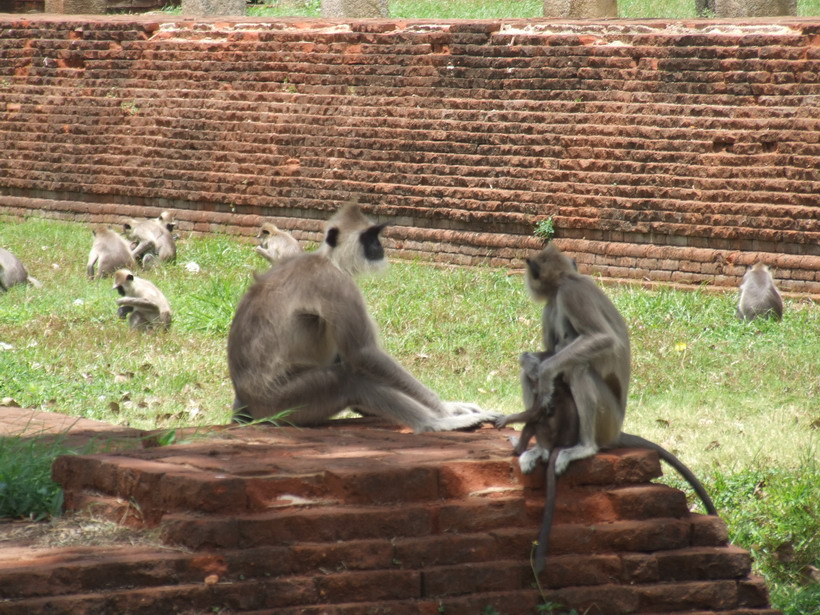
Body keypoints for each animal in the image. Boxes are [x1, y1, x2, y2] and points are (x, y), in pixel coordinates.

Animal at [226, 205, 494, 430]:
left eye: (375, 235)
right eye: (368, 237)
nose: (380, 246)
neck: (328, 259)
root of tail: (250, 403)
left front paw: (451, 407)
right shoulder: (336, 284)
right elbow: (362, 354)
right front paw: (444, 412)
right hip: (284, 403)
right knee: (349, 379)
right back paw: (435, 424)